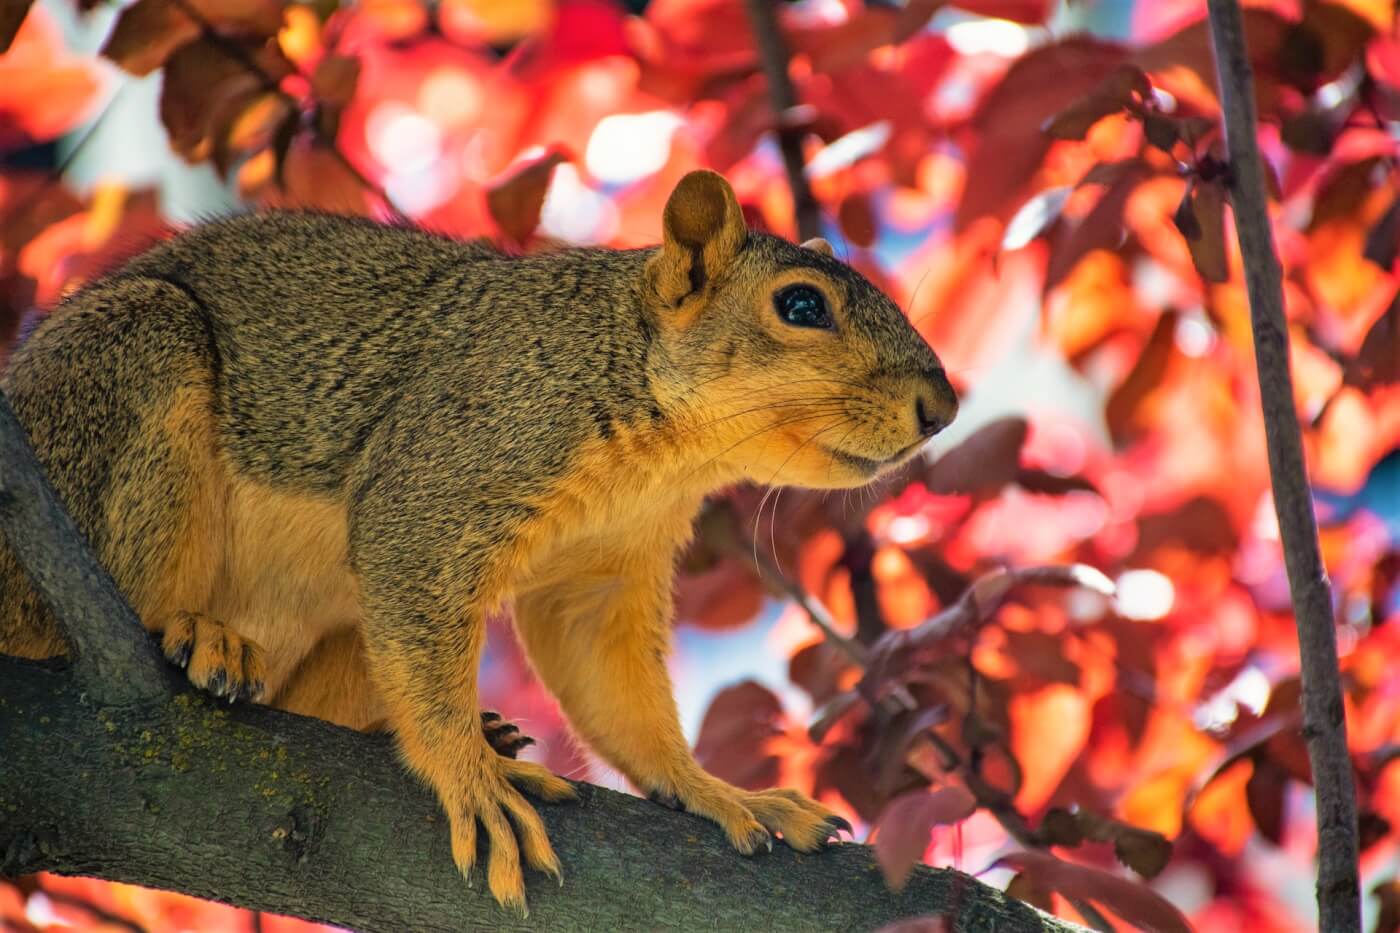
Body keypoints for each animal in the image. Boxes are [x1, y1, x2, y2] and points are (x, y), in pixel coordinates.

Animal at [0, 168, 952, 907]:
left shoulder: (605, 568)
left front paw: (717, 790)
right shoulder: (448, 466)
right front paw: (471, 777)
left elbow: (609, 685)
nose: (941, 407)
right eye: (801, 304)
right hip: (127, 369)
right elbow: (413, 573)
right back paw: (200, 634)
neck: (662, 455)